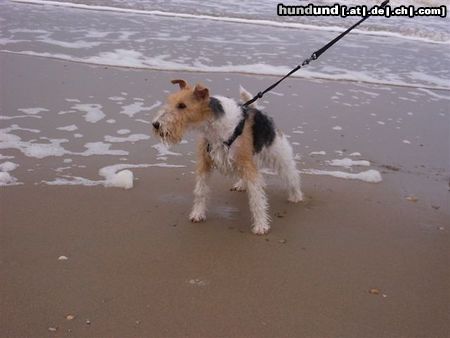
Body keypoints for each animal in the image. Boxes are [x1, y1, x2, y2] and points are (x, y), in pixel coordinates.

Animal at [153, 78, 304, 235]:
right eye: (169, 101)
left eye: (182, 105)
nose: (156, 124)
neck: (213, 126)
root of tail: (258, 111)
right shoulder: (204, 163)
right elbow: (201, 191)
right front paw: (198, 214)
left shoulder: (247, 165)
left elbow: (256, 199)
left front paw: (261, 225)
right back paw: (242, 184)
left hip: (278, 155)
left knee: (292, 176)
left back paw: (296, 196)